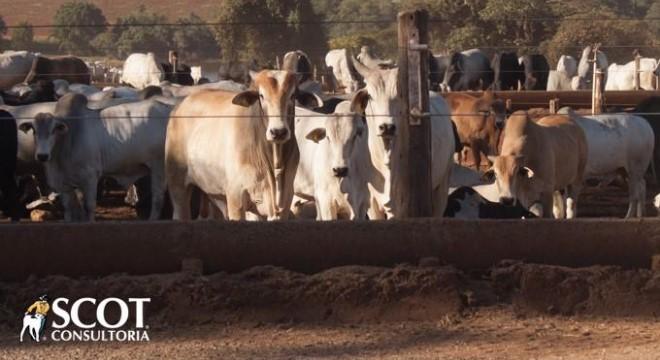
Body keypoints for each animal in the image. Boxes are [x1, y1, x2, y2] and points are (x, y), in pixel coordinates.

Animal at [18, 94, 174, 221]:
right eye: (34, 131)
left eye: (53, 131)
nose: (42, 156)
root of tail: (169, 109)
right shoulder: (64, 184)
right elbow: (69, 209)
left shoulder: (90, 177)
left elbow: (89, 206)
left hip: (159, 167)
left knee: (158, 199)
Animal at [164, 68, 320, 219]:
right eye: (261, 95)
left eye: (292, 95)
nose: (278, 131)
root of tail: (181, 104)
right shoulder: (235, 198)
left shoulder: (283, 204)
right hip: (177, 186)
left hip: (214, 194)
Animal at [354, 60, 456, 218]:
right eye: (370, 96)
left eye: (400, 95)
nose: (387, 127)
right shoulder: (372, 202)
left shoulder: (399, 206)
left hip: (442, 184)